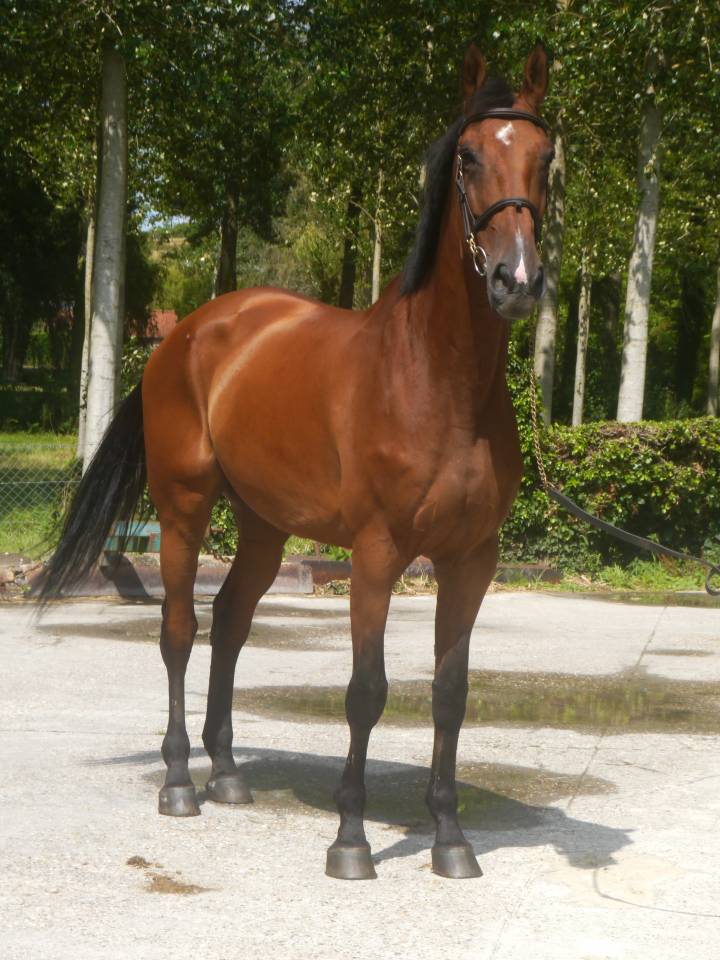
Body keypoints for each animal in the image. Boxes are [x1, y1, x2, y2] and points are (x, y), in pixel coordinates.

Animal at [39, 43, 553, 880]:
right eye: (470, 157)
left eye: (546, 158)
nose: (516, 280)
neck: (436, 380)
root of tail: (185, 335)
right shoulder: (377, 555)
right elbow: (367, 690)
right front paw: (351, 840)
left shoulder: (473, 559)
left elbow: (450, 693)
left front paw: (450, 840)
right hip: (184, 509)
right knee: (180, 629)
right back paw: (179, 782)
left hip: (263, 527)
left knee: (231, 622)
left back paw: (226, 773)